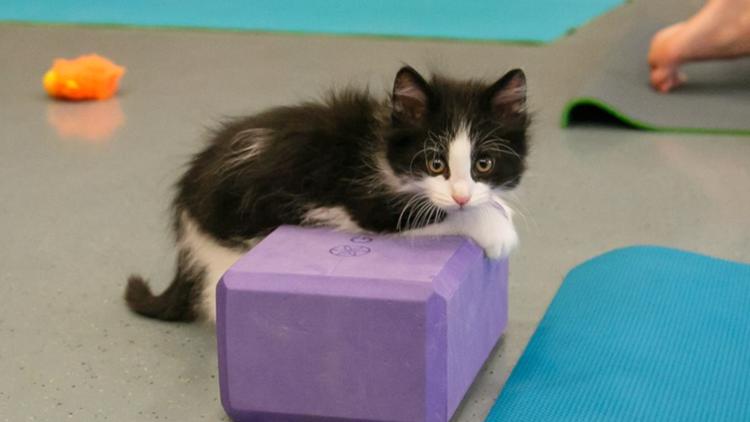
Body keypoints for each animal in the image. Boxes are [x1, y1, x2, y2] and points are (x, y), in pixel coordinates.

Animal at [125, 66, 528, 324]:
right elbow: (433, 214)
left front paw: (497, 207)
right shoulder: (367, 204)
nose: (461, 195)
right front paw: (496, 230)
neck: (381, 145)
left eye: (484, 164)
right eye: (434, 163)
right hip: (224, 247)